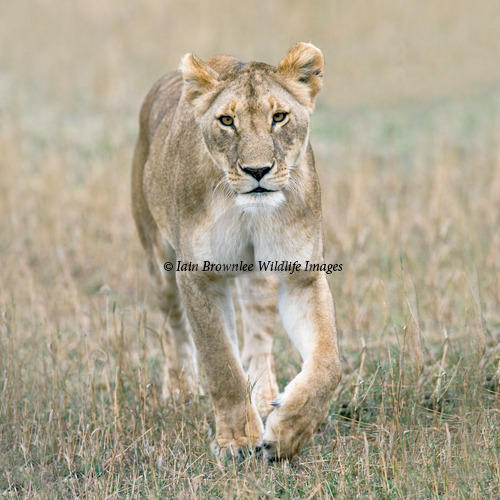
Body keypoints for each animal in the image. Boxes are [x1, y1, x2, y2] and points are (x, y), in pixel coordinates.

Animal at [131, 43, 342, 460]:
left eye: (279, 117)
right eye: (227, 121)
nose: (257, 171)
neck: (249, 213)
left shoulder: (302, 275)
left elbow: (327, 363)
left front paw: (288, 431)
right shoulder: (200, 276)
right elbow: (220, 361)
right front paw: (237, 439)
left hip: (259, 280)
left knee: (258, 339)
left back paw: (263, 396)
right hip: (157, 259)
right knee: (174, 327)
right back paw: (180, 389)